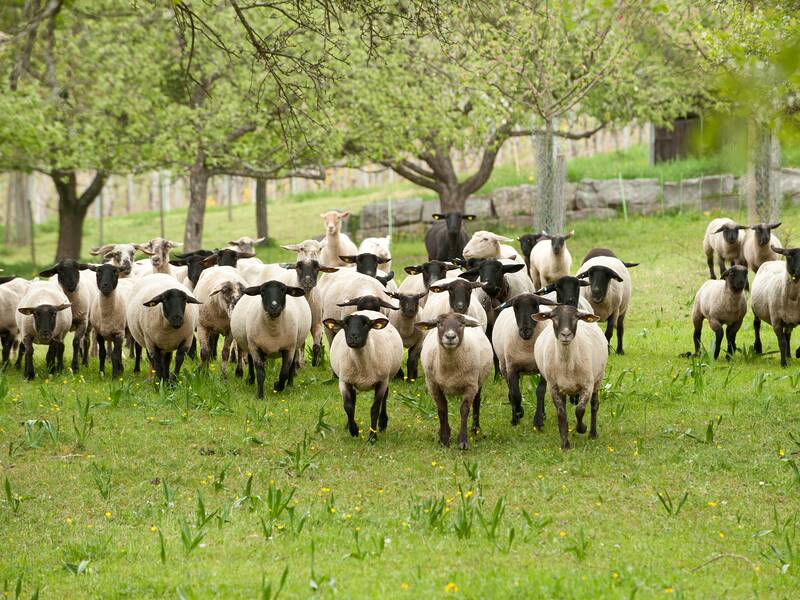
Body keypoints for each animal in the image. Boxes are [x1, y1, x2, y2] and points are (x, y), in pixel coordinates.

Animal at [324, 310, 403, 442]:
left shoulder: (381, 382)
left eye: (366, 324)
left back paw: (383, 423)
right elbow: (348, 407)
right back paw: (348, 425)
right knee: (353, 400)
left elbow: (374, 409)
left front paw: (372, 437)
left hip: (387, 377)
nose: (353, 337)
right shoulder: (344, 381)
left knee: (385, 397)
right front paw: (354, 430)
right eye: (345, 324)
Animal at [416, 313, 493, 449]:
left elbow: (464, 410)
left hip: (479, 380)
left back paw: (475, 429)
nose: (450, 337)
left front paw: (462, 442)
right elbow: (442, 408)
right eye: (438, 323)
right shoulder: (433, 385)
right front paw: (444, 438)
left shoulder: (470, 386)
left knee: (477, 401)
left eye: (462, 324)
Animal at [492, 293, 556, 427]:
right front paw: (517, 416)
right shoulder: (512, 367)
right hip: (503, 365)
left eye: (536, 306)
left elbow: (540, 391)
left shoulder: (542, 368)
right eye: (515, 307)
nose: (525, 331)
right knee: (511, 390)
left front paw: (538, 420)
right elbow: (515, 394)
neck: (527, 347)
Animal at [532, 304, 607, 450]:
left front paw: (582, 428)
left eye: (576, 318)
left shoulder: (587, 386)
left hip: (598, 379)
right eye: (553, 317)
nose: (565, 334)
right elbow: (561, 413)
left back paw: (592, 433)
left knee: (594, 405)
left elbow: (580, 410)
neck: (567, 364)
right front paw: (565, 444)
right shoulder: (554, 388)